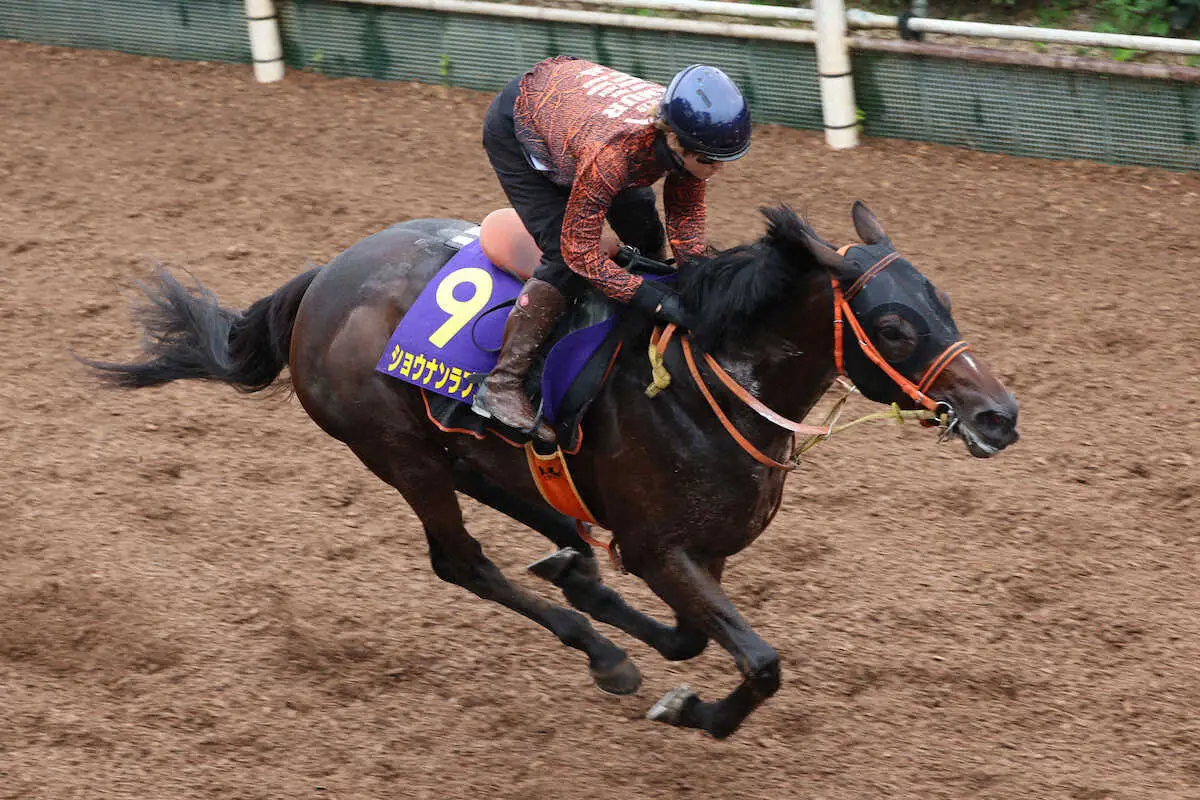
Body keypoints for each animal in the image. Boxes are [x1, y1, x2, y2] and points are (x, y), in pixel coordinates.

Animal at [87, 203, 1022, 743]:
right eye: (894, 327)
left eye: (944, 303)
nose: (998, 415)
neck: (709, 378)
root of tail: (322, 280)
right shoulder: (659, 547)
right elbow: (759, 661)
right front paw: (692, 711)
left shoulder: (701, 548)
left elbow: (692, 634)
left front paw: (622, 620)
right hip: (397, 453)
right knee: (460, 561)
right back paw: (599, 649)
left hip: (464, 449)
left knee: (536, 510)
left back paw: (573, 569)